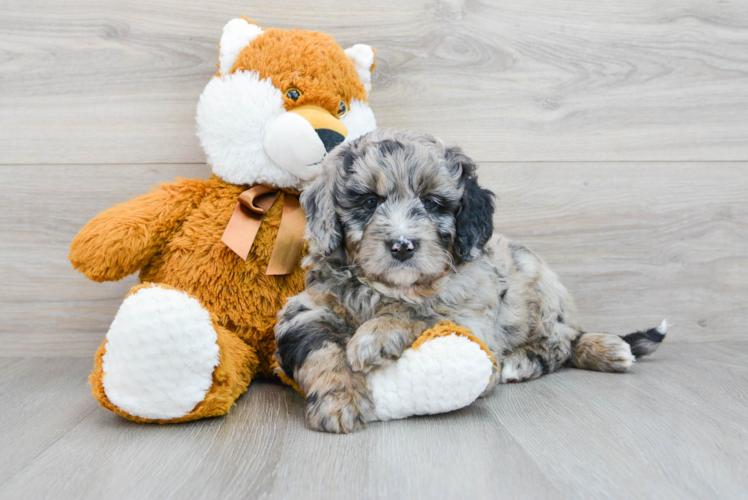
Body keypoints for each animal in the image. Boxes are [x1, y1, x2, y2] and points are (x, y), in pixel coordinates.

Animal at [272, 129, 664, 434]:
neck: (389, 287)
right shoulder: (306, 309)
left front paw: (376, 335)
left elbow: (424, 312)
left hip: (542, 287)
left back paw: (539, 358)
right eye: (369, 201)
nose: (402, 245)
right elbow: (321, 350)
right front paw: (339, 401)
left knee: (562, 341)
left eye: (432, 203)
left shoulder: (470, 318)